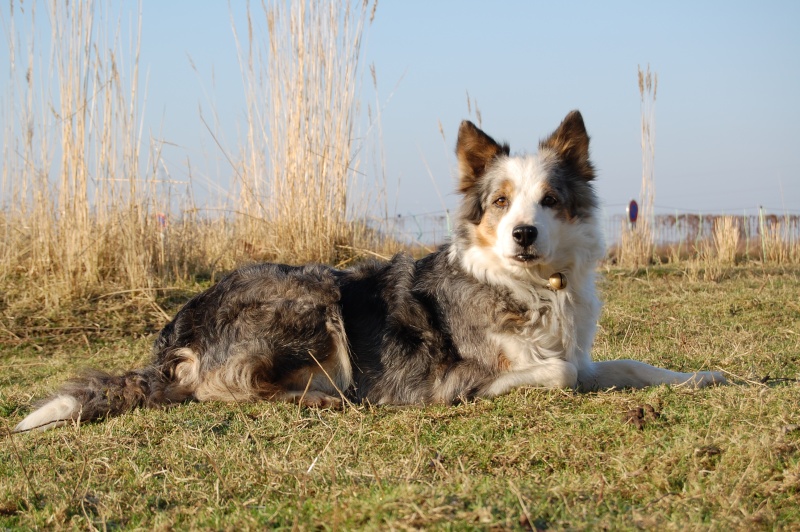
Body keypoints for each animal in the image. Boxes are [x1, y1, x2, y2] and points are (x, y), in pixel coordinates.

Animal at [12, 111, 724, 432]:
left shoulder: (583, 348)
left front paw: (702, 376)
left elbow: (625, 365)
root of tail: (175, 329)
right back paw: (325, 398)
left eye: (549, 200)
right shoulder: (454, 378)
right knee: (229, 389)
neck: (527, 286)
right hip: (310, 295)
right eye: (500, 201)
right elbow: (558, 374)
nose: (523, 234)